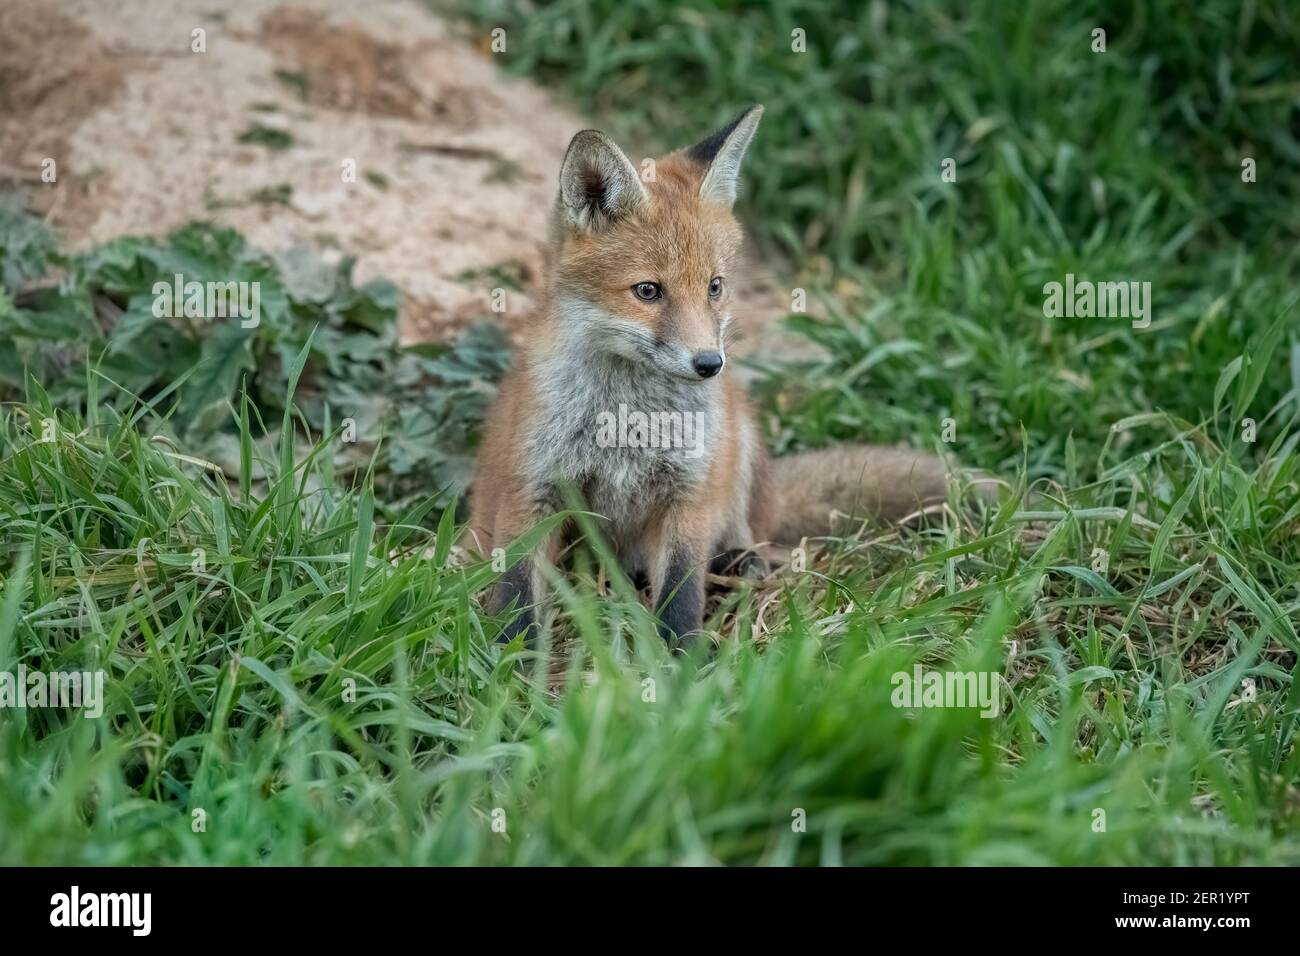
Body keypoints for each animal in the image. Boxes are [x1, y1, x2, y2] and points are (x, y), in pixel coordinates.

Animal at [467, 105, 970, 646]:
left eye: (714, 286)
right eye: (648, 290)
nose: (709, 365)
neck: (628, 421)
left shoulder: (690, 494)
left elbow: (682, 592)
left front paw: (680, 658)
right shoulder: (533, 489)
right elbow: (516, 592)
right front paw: (511, 657)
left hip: (738, 440)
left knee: (750, 534)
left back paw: (739, 562)